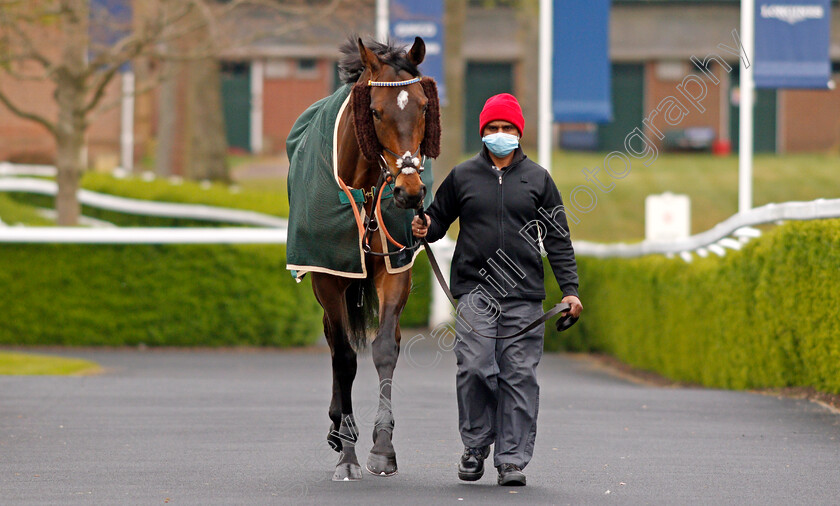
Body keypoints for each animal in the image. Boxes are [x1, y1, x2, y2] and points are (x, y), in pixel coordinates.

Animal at [306, 37, 442, 480]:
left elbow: (384, 348)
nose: (410, 192)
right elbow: (345, 356)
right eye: (376, 111)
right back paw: (338, 428)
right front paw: (347, 452)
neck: (364, 192)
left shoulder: (395, 267)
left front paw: (382, 447)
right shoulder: (329, 274)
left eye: (423, 106)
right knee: (335, 342)